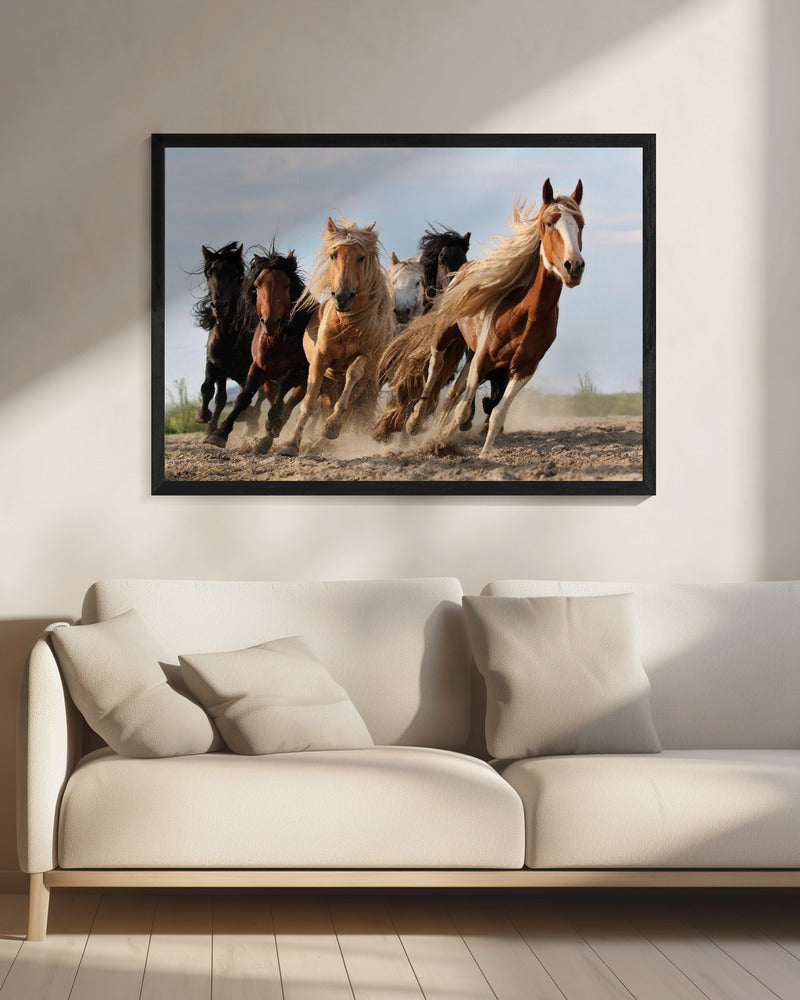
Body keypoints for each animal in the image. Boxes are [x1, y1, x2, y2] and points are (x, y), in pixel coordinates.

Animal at [192, 242, 262, 434]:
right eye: (210, 274)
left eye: (235, 275)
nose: (219, 306)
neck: (230, 337)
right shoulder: (215, 364)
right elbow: (209, 390)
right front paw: (204, 419)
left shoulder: (248, 370)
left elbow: (245, 395)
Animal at [204, 247, 314, 453]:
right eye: (257, 285)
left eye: (287, 285)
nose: (270, 322)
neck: (279, 341)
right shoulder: (258, 368)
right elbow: (244, 397)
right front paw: (219, 434)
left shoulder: (300, 370)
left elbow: (284, 386)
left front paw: (273, 422)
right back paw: (264, 440)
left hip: (305, 381)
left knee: (290, 404)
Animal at [277, 218, 395, 457]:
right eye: (333, 255)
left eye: (361, 257)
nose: (342, 296)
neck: (347, 325)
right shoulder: (320, 360)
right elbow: (309, 402)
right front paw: (291, 443)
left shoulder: (365, 359)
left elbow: (352, 377)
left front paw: (331, 427)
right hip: (331, 384)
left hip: (366, 384)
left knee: (349, 407)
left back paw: (323, 440)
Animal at [381, 179, 585, 456]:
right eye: (549, 223)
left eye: (581, 224)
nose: (573, 266)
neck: (526, 314)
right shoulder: (483, 358)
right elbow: (462, 407)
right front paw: (439, 438)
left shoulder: (523, 369)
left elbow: (497, 413)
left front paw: (483, 452)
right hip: (446, 334)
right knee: (435, 367)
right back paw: (415, 420)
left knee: (454, 391)